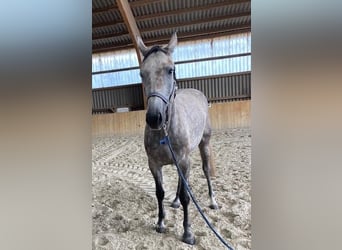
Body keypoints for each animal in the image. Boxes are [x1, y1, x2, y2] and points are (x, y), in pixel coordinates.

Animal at [138, 32, 218, 244]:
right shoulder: (154, 164)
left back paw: (213, 201)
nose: (154, 118)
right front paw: (160, 223)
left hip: (204, 145)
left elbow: (186, 196)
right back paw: (174, 202)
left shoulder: (183, 160)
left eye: (170, 70)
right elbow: (160, 193)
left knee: (205, 171)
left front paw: (187, 232)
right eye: (141, 73)